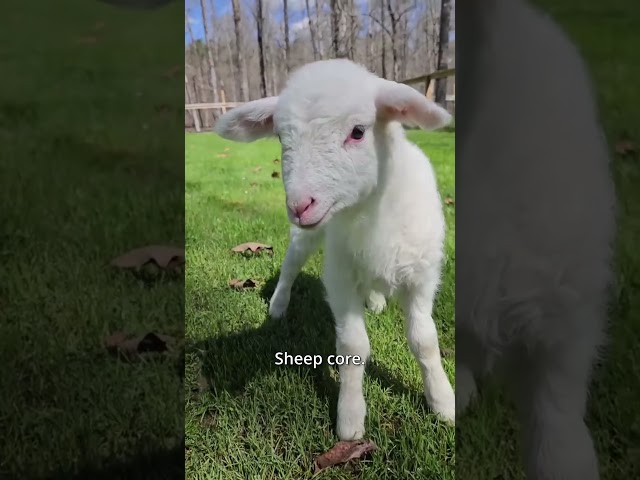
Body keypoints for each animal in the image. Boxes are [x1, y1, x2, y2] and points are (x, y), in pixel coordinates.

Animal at [214, 58, 455, 440]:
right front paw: (350, 418)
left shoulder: (422, 276)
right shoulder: (340, 277)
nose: (299, 205)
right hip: (306, 238)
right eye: (281, 137)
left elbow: (425, 340)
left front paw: (443, 401)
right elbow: (353, 346)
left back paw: (375, 300)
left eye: (358, 131)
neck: (369, 212)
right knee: (290, 267)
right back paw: (278, 306)